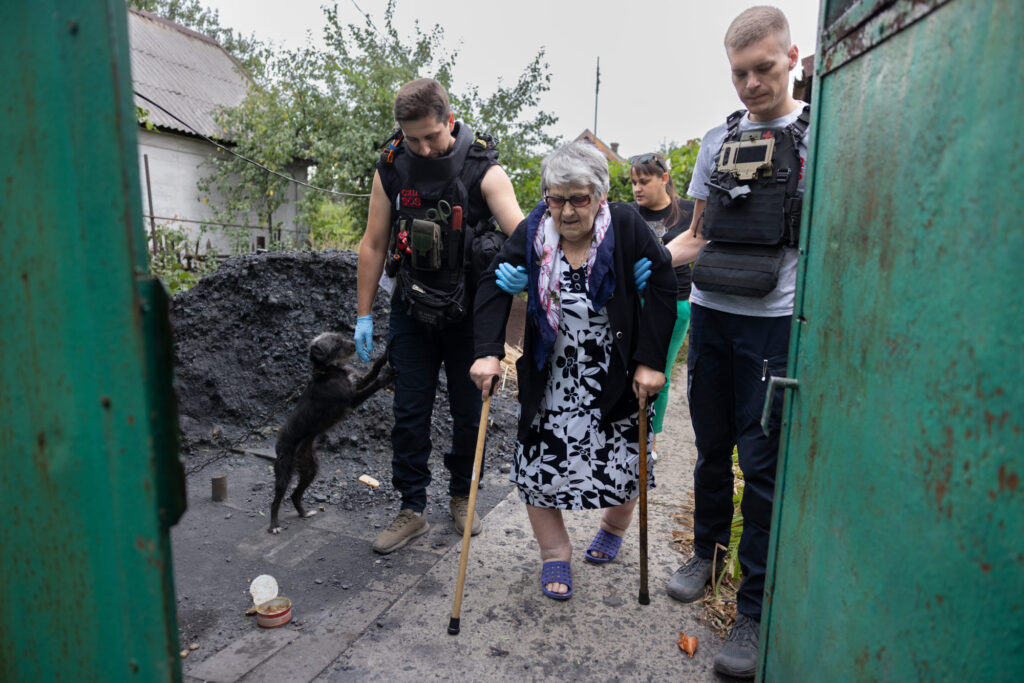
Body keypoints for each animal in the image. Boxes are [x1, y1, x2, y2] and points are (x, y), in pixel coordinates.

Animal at [270, 331, 393, 532]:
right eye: (336, 345)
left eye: (341, 338)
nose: (354, 344)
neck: (329, 371)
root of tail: (279, 442)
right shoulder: (352, 399)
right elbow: (374, 384)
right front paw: (388, 375)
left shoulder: (357, 382)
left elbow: (373, 370)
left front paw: (383, 357)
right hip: (284, 471)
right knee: (276, 500)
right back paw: (274, 525)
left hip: (310, 469)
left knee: (295, 495)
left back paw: (304, 513)